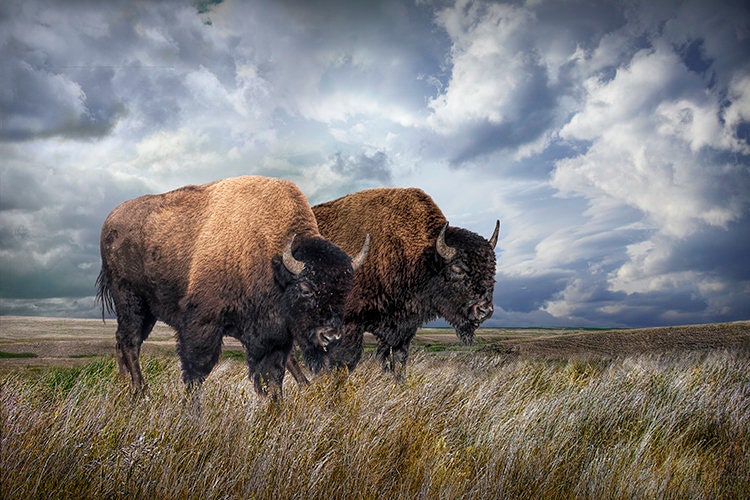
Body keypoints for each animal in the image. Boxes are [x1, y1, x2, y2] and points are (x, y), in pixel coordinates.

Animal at [96, 176, 368, 401]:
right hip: (130, 300)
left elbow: (274, 375)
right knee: (129, 341)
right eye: (305, 288)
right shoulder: (202, 324)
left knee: (123, 342)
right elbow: (197, 369)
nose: (330, 337)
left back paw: (126, 389)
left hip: (147, 310)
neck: (272, 258)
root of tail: (110, 220)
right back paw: (141, 392)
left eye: (345, 292)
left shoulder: (274, 337)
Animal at [288, 187, 498, 381]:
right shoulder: (349, 324)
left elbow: (397, 359)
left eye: (492, 269)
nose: (484, 310)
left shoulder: (402, 328)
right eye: (458, 268)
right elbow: (346, 360)